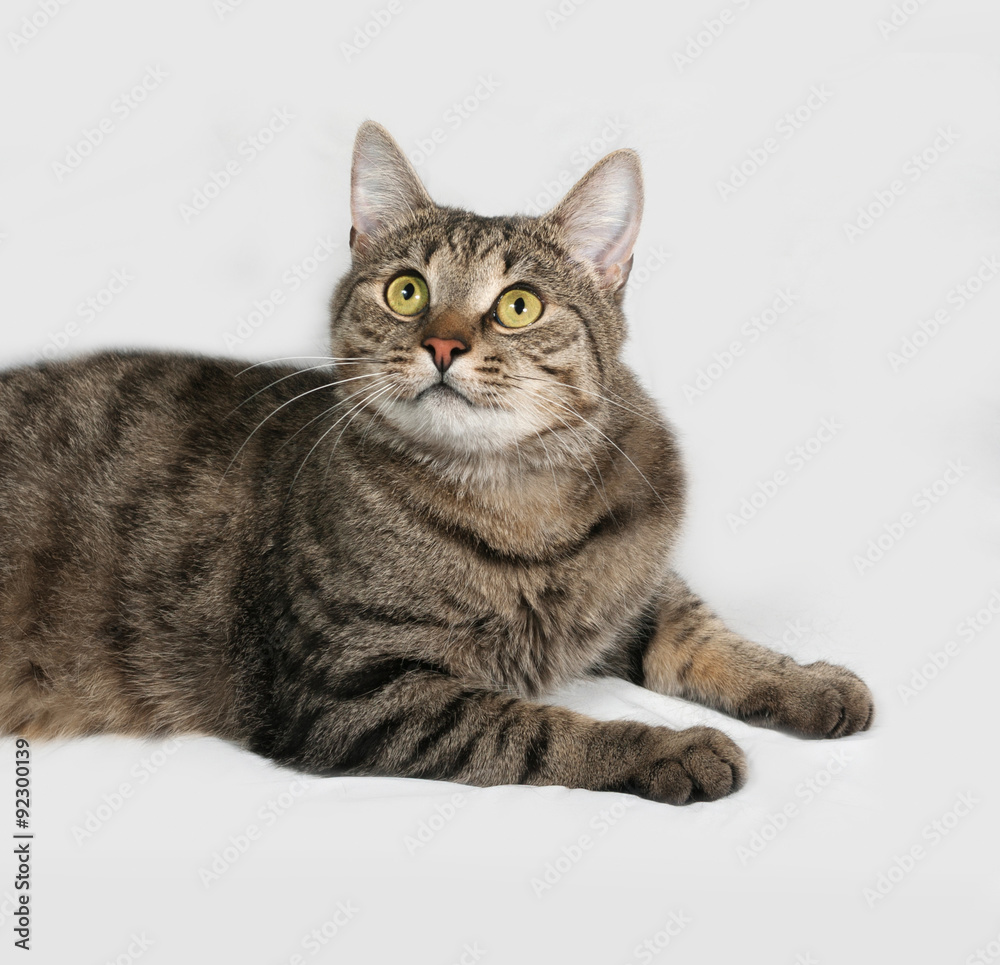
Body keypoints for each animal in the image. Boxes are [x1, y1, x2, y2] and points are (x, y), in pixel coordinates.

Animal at [0, 120, 872, 804]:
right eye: (407, 291)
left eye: (518, 304)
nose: (444, 344)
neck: (516, 501)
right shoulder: (353, 689)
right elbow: (534, 728)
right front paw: (667, 746)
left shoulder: (631, 582)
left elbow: (701, 630)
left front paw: (806, 680)